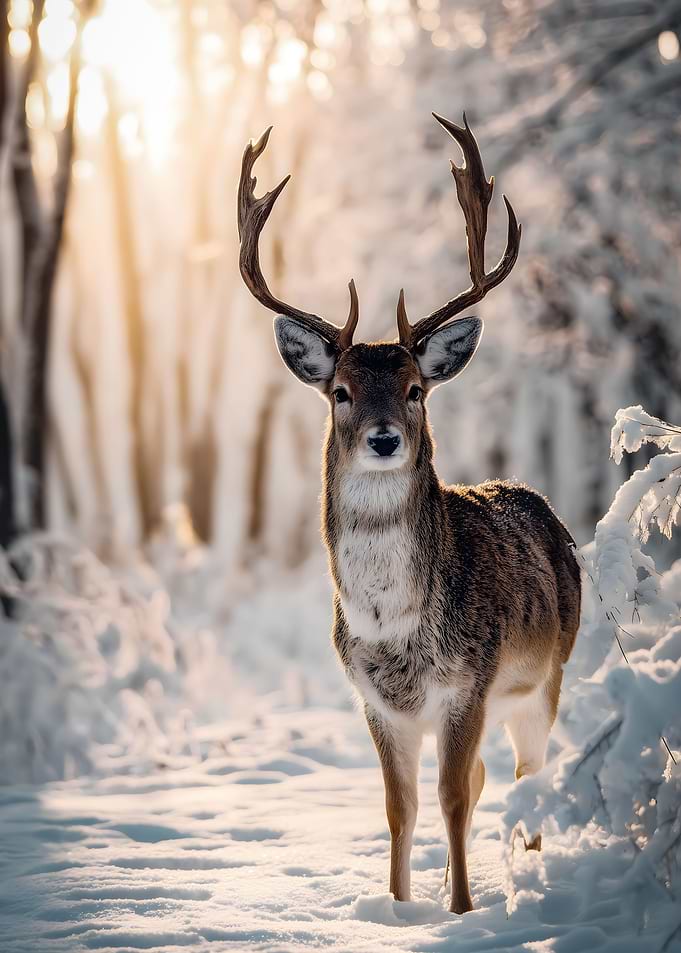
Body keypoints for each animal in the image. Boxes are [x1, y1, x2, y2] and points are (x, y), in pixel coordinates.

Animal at [237, 113, 581, 915]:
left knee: (528, 778)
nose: (385, 437)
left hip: (546, 675)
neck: (395, 629)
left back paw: (529, 878)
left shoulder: (469, 684)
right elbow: (401, 807)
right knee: (492, 780)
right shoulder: (376, 703)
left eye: (416, 388)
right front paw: (395, 911)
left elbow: (451, 798)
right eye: (339, 391)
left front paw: (459, 911)